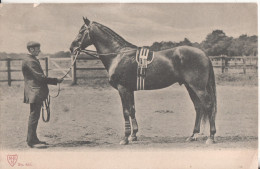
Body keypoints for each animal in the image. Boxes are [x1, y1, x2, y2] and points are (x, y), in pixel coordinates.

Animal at [69, 17, 217, 145]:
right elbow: (132, 110)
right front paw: (133, 135)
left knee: (208, 105)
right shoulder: (129, 90)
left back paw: (210, 137)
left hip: (198, 87)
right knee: (198, 107)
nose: (72, 47)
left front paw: (125, 138)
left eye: (81, 31)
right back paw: (192, 135)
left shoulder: (123, 89)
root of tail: (204, 55)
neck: (118, 55)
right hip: (190, 86)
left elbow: (125, 111)